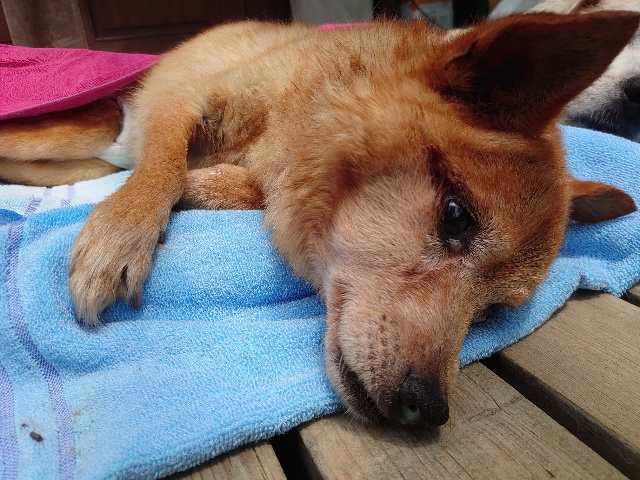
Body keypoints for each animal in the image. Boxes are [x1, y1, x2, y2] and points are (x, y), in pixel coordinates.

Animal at [0, 13, 638, 427]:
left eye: (492, 313)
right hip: (79, 127)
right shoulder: (178, 105)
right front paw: (120, 233)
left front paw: (207, 189)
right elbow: (162, 168)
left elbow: (223, 185)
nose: (429, 409)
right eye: (456, 217)